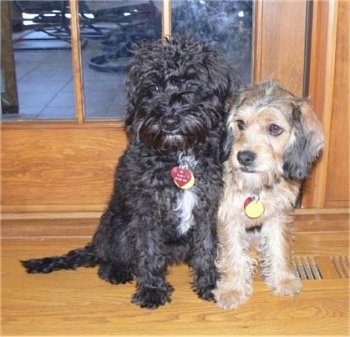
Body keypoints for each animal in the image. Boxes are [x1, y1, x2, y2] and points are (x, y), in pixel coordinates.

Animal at [21, 35, 241, 308]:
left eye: (191, 83)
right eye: (153, 87)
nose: (169, 121)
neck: (178, 155)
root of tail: (96, 245)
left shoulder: (205, 209)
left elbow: (206, 248)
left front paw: (211, 284)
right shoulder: (147, 211)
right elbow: (149, 252)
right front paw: (152, 290)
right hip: (118, 226)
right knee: (109, 260)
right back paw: (117, 270)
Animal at [213, 80, 326, 308]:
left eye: (274, 128)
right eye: (240, 124)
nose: (244, 157)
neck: (256, 189)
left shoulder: (278, 214)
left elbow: (279, 246)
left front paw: (284, 279)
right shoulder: (228, 216)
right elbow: (233, 255)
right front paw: (233, 289)